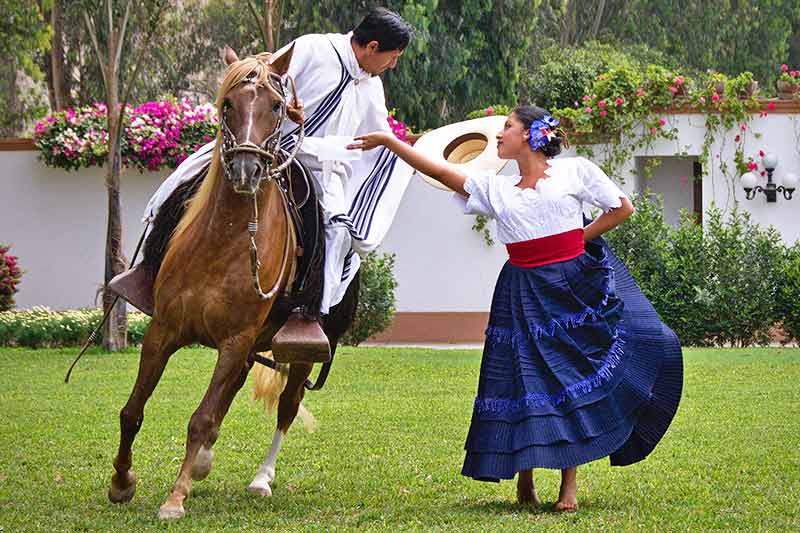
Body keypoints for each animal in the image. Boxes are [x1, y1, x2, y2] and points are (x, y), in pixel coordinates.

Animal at [108, 45, 358, 520]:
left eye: (276, 106)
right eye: (227, 103)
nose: (246, 169)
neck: (222, 242)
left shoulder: (236, 339)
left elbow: (201, 418)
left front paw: (175, 497)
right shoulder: (163, 330)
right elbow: (133, 410)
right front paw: (121, 481)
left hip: (297, 352)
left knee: (287, 406)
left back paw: (261, 478)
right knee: (236, 388)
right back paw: (205, 461)